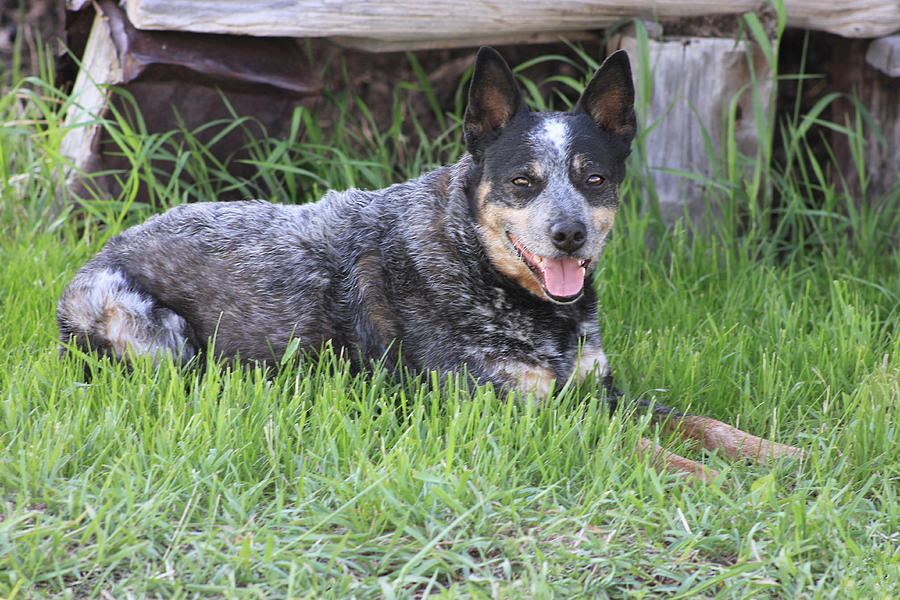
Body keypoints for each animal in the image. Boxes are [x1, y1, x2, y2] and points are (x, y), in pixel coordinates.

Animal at [56, 47, 800, 480]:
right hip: (156, 335)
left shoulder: (598, 389)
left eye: (593, 178)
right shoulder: (512, 411)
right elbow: (639, 446)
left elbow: (702, 422)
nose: (569, 235)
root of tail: (101, 250)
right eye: (523, 180)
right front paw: (719, 481)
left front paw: (781, 453)